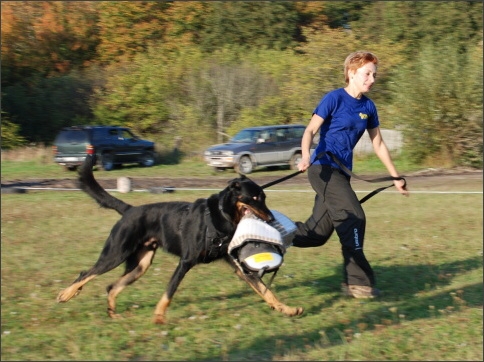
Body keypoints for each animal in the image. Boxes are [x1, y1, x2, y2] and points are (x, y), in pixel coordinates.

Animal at [56, 154, 302, 324]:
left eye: (265, 197)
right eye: (255, 198)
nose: (271, 218)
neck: (221, 218)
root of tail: (129, 209)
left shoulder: (239, 267)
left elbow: (266, 291)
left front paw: (287, 309)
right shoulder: (185, 262)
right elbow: (169, 292)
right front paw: (158, 317)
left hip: (140, 265)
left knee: (111, 286)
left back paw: (112, 314)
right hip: (116, 253)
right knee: (86, 273)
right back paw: (66, 294)